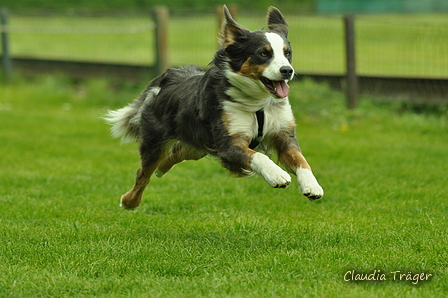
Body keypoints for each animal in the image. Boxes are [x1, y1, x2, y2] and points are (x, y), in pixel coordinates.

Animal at [103, 5, 324, 210]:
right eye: (263, 53)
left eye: (288, 54)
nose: (287, 70)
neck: (258, 103)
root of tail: (170, 76)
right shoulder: (228, 143)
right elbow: (258, 156)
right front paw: (277, 175)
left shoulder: (283, 133)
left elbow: (301, 159)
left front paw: (312, 186)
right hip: (156, 143)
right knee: (144, 174)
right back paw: (129, 201)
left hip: (196, 144)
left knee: (176, 152)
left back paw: (160, 170)